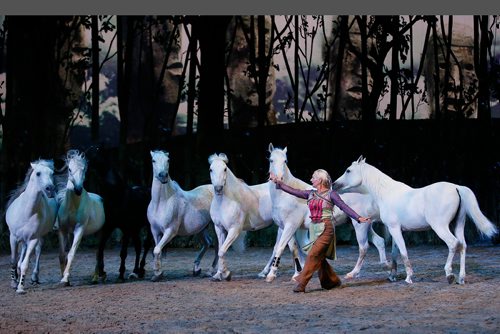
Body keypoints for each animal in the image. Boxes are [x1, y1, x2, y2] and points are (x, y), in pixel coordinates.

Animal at [5, 159, 58, 292]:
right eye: (38, 173)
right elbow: (13, 261)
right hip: (22, 239)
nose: (50, 189)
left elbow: (25, 264)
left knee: (38, 251)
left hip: (39, 237)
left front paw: (20, 287)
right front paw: (14, 282)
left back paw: (34, 278)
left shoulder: (33, 239)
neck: (26, 212)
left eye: (52, 173)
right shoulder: (13, 237)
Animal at [56, 150, 104, 286]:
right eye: (69, 169)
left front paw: (65, 278)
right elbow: (62, 254)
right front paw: (64, 279)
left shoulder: (80, 229)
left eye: (84, 170)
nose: (78, 190)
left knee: (99, 253)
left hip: (101, 232)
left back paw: (96, 277)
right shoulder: (62, 230)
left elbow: (71, 253)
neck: (72, 206)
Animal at [146, 151, 217, 282]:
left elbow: (157, 250)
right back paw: (196, 269)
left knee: (217, 247)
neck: (162, 202)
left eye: (168, 160)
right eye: (153, 160)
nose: (163, 176)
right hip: (201, 228)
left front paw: (157, 274)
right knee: (207, 243)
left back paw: (210, 271)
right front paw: (158, 274)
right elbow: (157, 251)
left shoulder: (170, 231)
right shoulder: (155, 231)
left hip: (215, 227)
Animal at [266, 144, 386, 282]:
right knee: (379, 241)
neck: (284, 196)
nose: (278, 179)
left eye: (285, 161)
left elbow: (281, 247)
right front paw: (297, 274)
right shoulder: (286, 227)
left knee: (363, 247)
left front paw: (271, 275)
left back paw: (353, 273)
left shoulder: (291, 225)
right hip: (367, 224)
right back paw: (386, 266)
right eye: (271, 160)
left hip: (360, 225)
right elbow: (293, 249)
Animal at [334, 157, 498, 284]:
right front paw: (392, 275)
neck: (386, 193)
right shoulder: (396, 230)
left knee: (453, 244)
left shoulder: (394, 229)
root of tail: (457, 187)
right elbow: (395, 253)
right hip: (458, 224)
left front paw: (408, 277)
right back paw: (461, 278)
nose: (334, 185)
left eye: (348, 170)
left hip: (440, 227)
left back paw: (449, 275)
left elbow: (403, 252)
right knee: (463, 246)